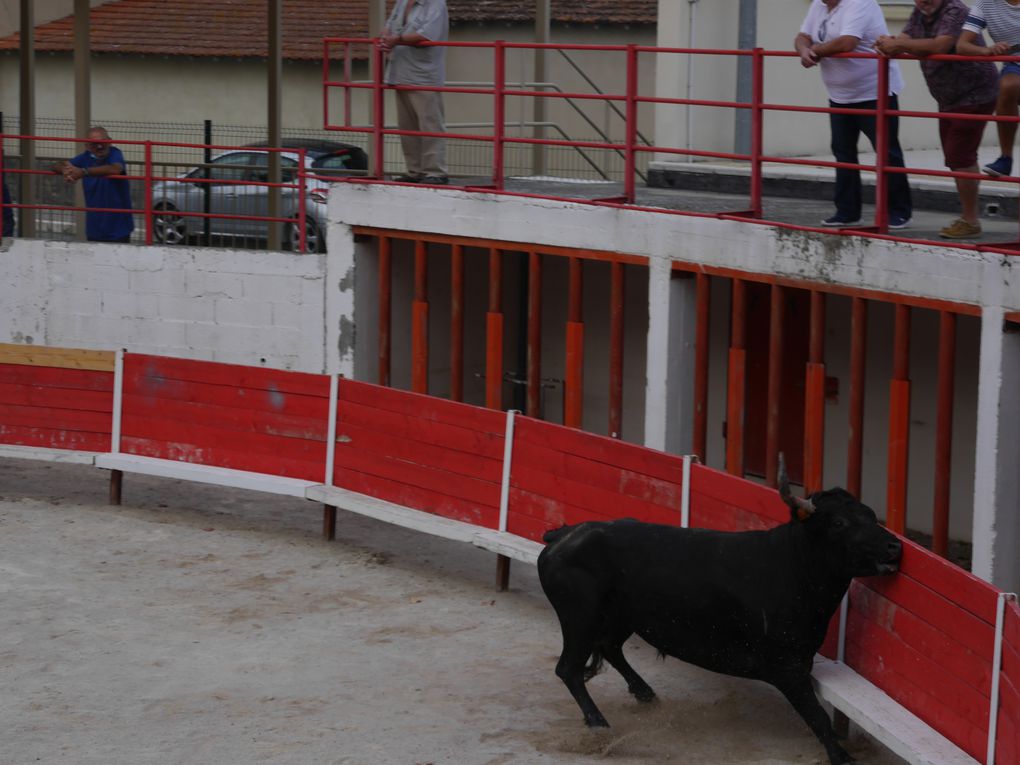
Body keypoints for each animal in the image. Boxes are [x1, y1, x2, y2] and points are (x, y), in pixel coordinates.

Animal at [534, 477, 901, 762]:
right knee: (569, 669)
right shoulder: (788, 667)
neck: (794, 564)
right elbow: (819, 716)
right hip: (579, 619)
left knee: (609, 649)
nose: (894, 547)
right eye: (839, 523)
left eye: (871, 516)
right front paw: (842, 757)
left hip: (619, 617)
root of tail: (563, 535)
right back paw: (600, 725)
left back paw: (646, 695)